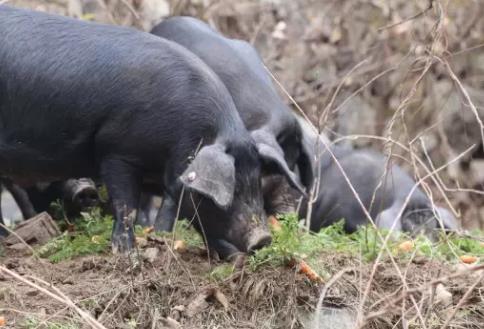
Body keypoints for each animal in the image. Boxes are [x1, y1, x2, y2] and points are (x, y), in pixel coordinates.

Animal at [0, 6, 272, 255]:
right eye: (234, 188)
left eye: (257, 182)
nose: (263, 238)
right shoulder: (117, 150)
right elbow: (126, 204)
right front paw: (128, 254)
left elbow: (180, 210)